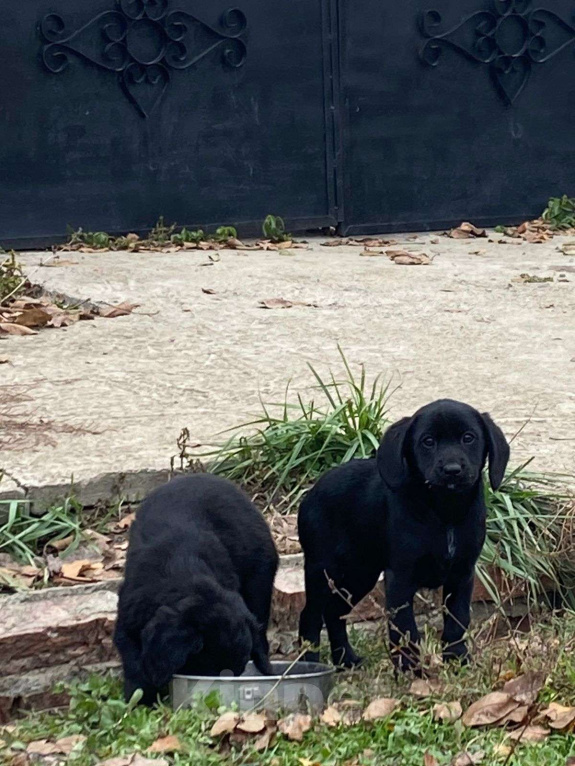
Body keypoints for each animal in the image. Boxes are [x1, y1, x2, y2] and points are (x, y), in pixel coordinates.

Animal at [300, 400, 510, 676]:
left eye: (468, 438)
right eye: (428, 441)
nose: (452, 471)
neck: (444, 511)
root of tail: (310, 494)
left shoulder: (463, 573)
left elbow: (458, 620)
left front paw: (457, 661)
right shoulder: (400, 578)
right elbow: (405, 628)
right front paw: (410, 671)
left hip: (360, 575)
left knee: (335, 613)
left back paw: (347, 660)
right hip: (322, 571)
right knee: (311, 617)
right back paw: (309, 665)